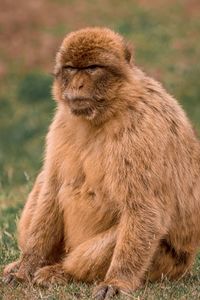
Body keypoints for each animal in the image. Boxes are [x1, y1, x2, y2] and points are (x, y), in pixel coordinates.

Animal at [2, 27, 200, 298]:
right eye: (71, 69)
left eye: (92, 68)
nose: (77, 84)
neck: (109, 109)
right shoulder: (61, 121)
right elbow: (52, 188)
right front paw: (27, 265)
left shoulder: (143, 128)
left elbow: (144, 208)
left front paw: (117, 281)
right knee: (45, 181)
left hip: (165, 263)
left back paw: (63, 272)